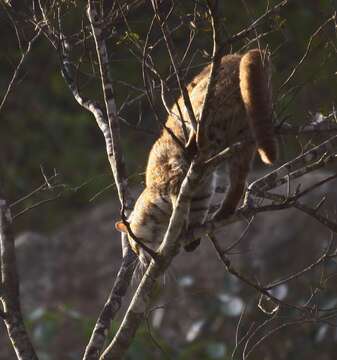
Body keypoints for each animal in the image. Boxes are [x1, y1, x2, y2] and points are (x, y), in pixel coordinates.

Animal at [115, 48, 276, 264]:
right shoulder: (202, 189)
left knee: (200, 121)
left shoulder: (174, 176)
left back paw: (192, 145)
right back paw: (223, 212)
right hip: (244, 142)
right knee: (238, 182)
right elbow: (196, 211)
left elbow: (181, 206)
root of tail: (237, 55)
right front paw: (190, 236)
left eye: (134, 245)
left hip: (204, 101)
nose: (142, 261)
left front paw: (180, 228)